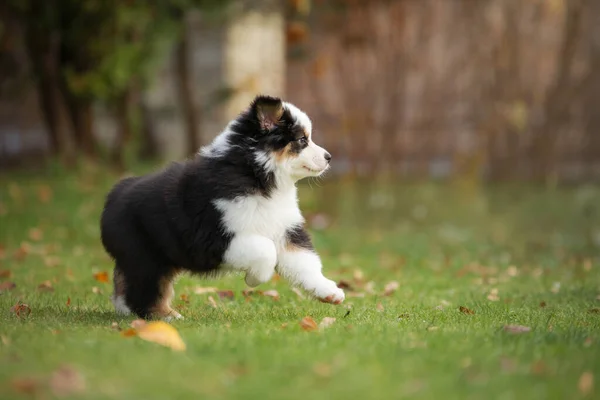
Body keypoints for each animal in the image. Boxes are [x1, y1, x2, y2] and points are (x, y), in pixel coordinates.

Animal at [101, 94, 346, 318]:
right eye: (302, 140)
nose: (329, 157)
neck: (257, 175)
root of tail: (114, 194)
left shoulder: (286, 230)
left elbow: (305, 263)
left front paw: (329, 292)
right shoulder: (217, 236)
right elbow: (266, 250)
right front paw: (254, 279)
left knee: (126, 284)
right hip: (146, 257)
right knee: (146, 290)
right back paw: (164, 316)